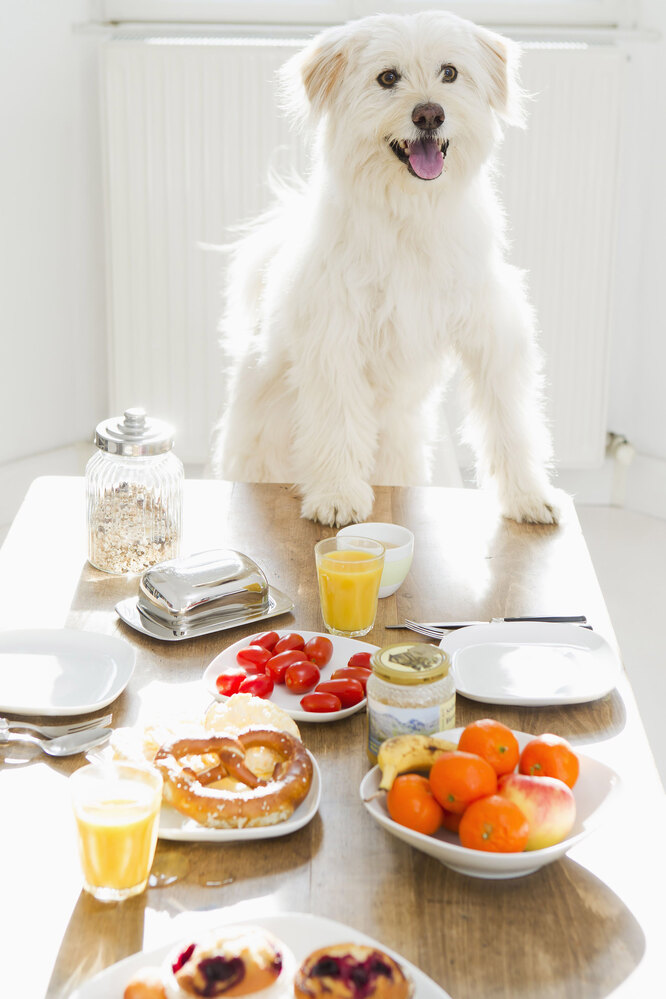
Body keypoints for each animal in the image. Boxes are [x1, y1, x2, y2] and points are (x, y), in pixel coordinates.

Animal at [211, 11, 556, 528]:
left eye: (449, 72)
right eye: (388, 78)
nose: (429, 114)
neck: (410, 214)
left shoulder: (493, 334)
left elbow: (510, 422)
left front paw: (529, 497)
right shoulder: (335, 338)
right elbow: (337, 420)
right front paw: (337, 495)